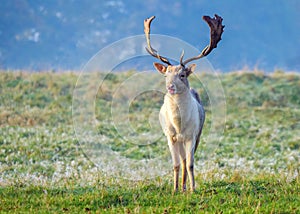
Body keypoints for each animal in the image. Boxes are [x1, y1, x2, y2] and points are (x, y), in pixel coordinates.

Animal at [144, 15, 224, 192]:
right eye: (166, 75)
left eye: (182, 75)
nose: (170, 86)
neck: (179, 124)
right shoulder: (170, 136)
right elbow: (175, 165)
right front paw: (174, 189)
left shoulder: (192, 135)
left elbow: (191, 164)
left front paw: (193, 189)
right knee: (181, 160)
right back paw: (181, 186)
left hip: (198, 134)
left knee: (186, 161)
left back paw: (186, 186)